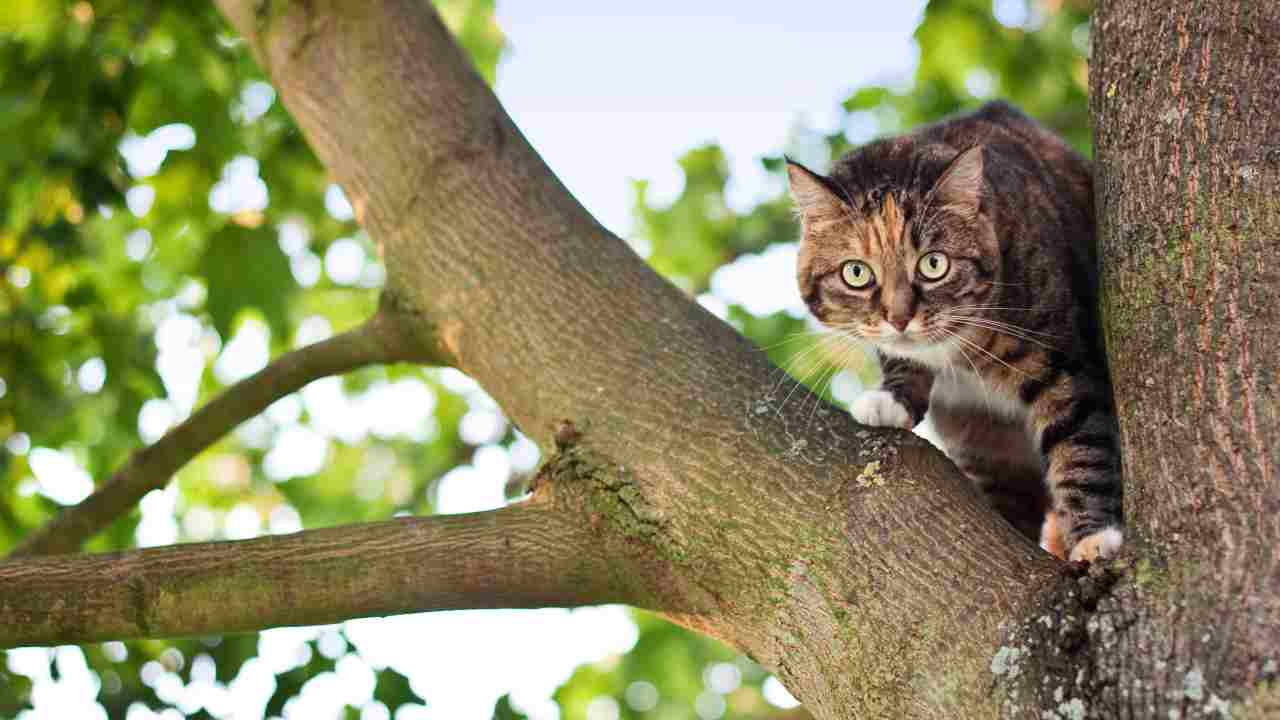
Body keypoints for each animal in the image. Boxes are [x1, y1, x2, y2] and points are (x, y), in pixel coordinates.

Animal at [783, 101, 1126, 561]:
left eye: (933, 264)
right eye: (856, 273)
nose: (899, 317)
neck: (963, 353)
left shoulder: (1068, 362)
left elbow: (1081, 446)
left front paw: (1094, 538)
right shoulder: (980, 434)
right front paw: (892, 399)